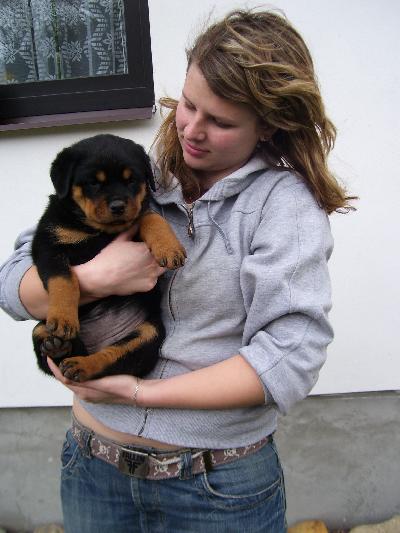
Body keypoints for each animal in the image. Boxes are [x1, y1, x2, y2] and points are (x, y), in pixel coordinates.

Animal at [31, 134, 186, 382]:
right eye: (94, 183)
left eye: (131, 180)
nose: (118, 206)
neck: (99, 230)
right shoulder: (47, 246)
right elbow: (63, 280)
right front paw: (64, 318)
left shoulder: (136, 219)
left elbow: (150, 217)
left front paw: (169, 248)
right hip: (40, 328)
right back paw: (58, 346)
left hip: (149, 334)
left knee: (112, 359)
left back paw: (82, 365)